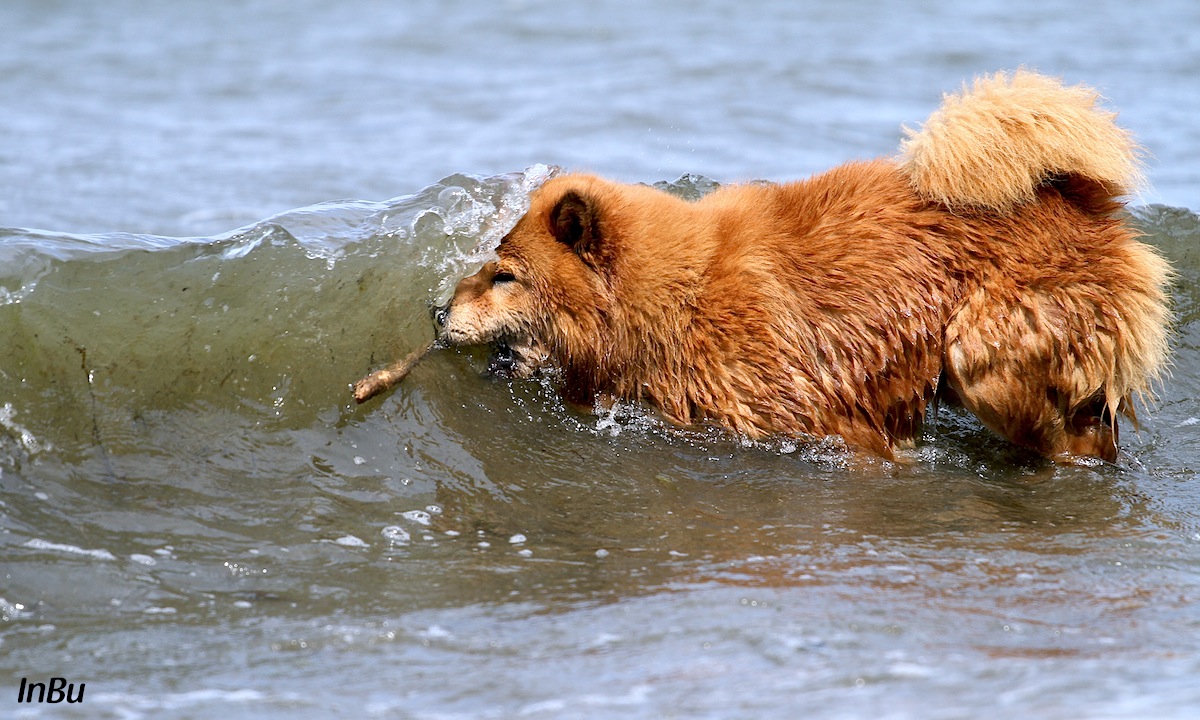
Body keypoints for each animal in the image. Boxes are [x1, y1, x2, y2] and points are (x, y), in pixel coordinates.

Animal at [436, 73, 1166, 460]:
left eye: (505, 275)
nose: (436, 309)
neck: (674, 300)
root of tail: (1083, 203)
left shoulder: (814, 417)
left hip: (984, 356)